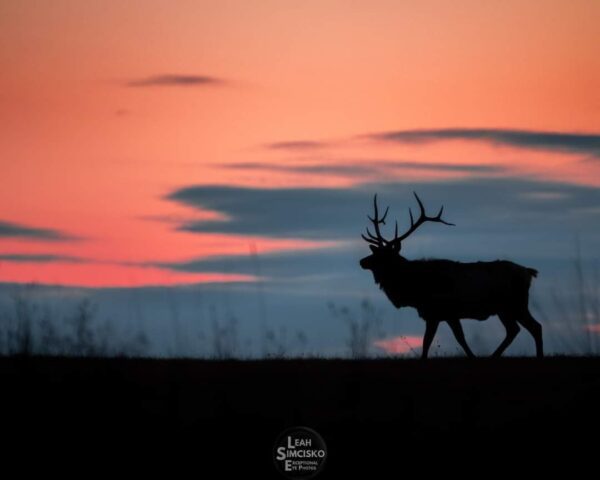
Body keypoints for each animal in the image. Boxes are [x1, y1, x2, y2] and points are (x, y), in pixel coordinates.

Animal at [360, 193, 544, 358]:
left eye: (383, 256)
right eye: (376, 251)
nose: (362, 261)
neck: (415, 290)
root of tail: (529, 272)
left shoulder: (437, 312)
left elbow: (430, 343)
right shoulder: (447, 315)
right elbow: (459, 339)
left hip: (515, 303)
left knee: (535, 327)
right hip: (505, 308)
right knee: (514, 330)